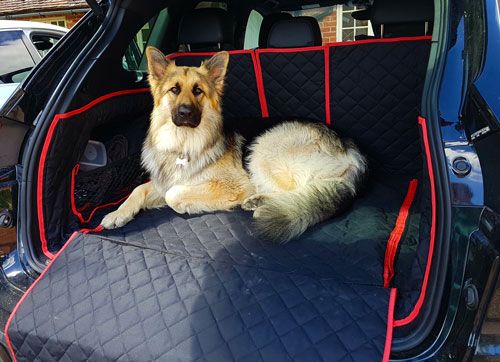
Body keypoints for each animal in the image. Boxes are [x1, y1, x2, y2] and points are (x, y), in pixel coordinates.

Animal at [102, 46, 368, 243]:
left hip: (264, 149)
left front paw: (188, 205)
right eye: (174, 90)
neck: (184, 141)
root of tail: (351, 147)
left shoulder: (230, 184)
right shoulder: (165, 179)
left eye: (198, 91)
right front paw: (117, 213)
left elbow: (173, 194)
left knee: (302, 190)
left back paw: (266, 204)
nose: (185, 113)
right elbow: (140, 190)